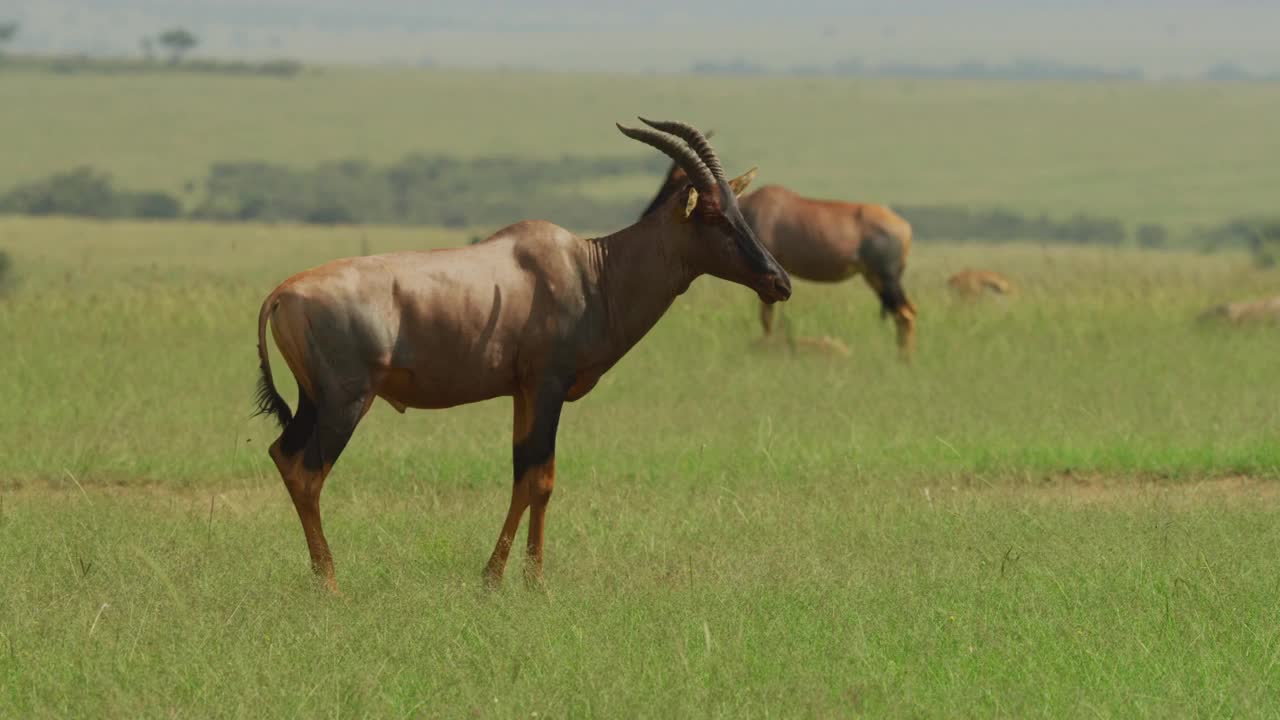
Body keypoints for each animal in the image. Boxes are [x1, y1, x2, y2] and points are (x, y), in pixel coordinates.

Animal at [250, 116, 788, 589]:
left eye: (740, 211)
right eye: (712, 215)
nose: (778, 282)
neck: (590, 269)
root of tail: (282, 292)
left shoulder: (522, 392)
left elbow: (523, 476)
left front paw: (502, 578)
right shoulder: (548, 386)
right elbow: (541, 478)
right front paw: (526, 582)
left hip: (313, 400)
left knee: (283, 455)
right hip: (346, 403)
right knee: (308, 473)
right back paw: (331, 584)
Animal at [645, 155, 916, 361]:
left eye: (679, 181)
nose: (648, 214)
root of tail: (904, 227)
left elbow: (766, 318)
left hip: (886, 277)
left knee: (905, 314)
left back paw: (903, 362)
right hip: (874, 277)